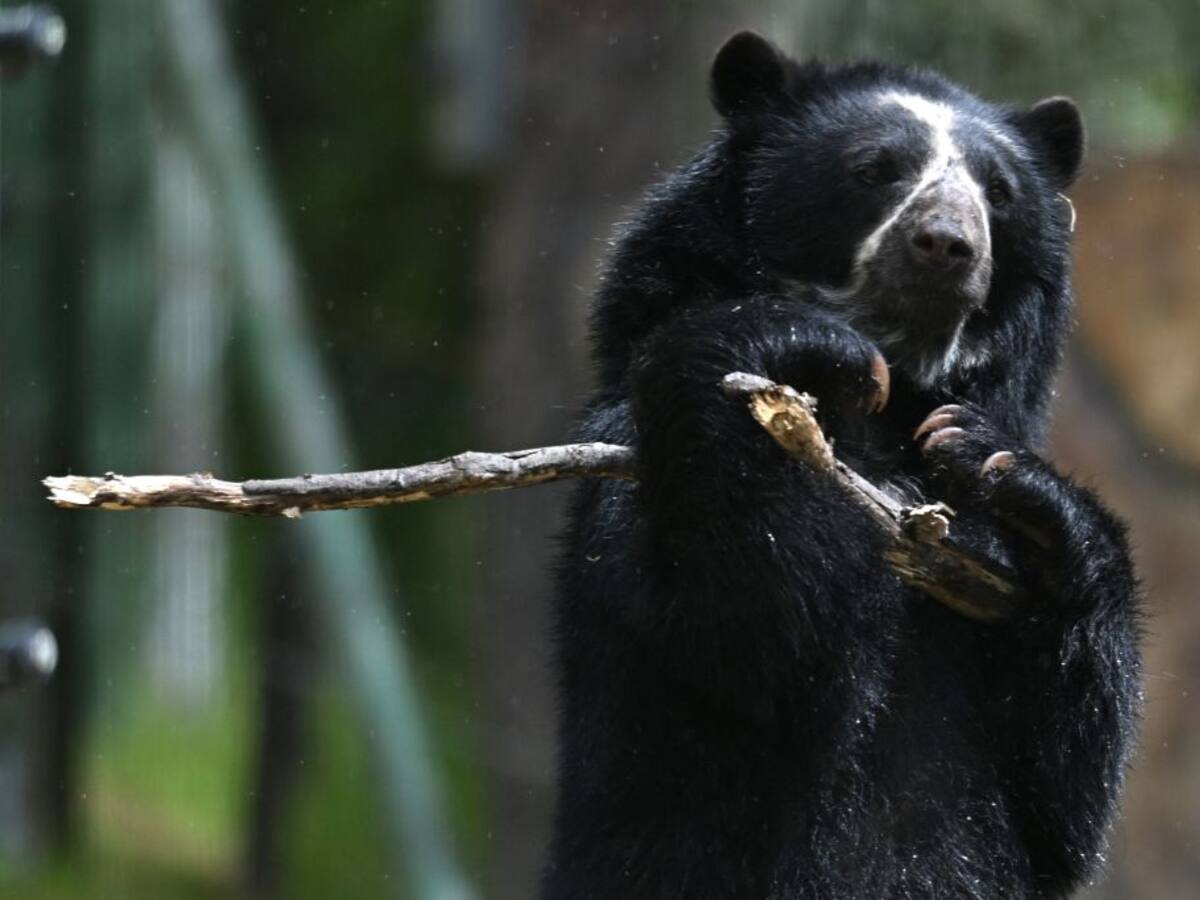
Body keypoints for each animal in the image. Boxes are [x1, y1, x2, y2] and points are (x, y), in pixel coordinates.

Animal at [545, 31, 1143, 900]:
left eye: (998, 194)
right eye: (874, 169)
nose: (948, 246)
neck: (887, 418)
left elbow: (1067, 801)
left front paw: (1006, 479)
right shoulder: (624, 474)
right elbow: (759, 647)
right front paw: (803, 345)